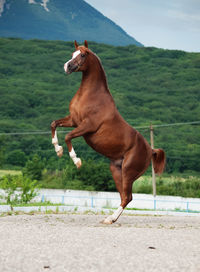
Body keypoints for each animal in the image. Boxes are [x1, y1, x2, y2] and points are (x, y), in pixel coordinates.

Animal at [50, 39, 165, 223]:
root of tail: (150, 150)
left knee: (127, 197)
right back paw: (110, 218)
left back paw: (110, 219)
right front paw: (58, 150)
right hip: (116, 171)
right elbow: (54, 124)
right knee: (124, 196)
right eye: (72, 54)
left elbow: (68, 136)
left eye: (83, 55)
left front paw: (77, 161)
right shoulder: (73, 121)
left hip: (128, 172)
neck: (91, 96)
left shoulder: (86, 126)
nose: (67, 66)